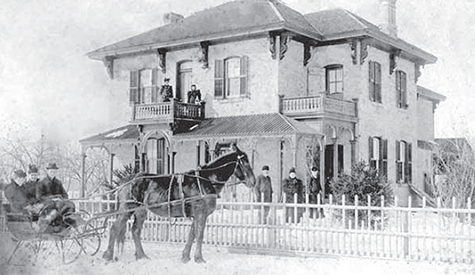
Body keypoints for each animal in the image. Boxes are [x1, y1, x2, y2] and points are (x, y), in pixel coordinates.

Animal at [101, 148, 256, 264]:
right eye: (244, 162)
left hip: (140, 211)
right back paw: (108, 256)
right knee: (114, 229)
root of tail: (126, 181)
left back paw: (141, 256)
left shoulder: (196, 215)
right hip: (127, 210)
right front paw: (199, 258)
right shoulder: (201, 214)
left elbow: (191, 235)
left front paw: (186, 257)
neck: (206, 180)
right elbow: (199, 235)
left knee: (135, 231)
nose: (253, 182)